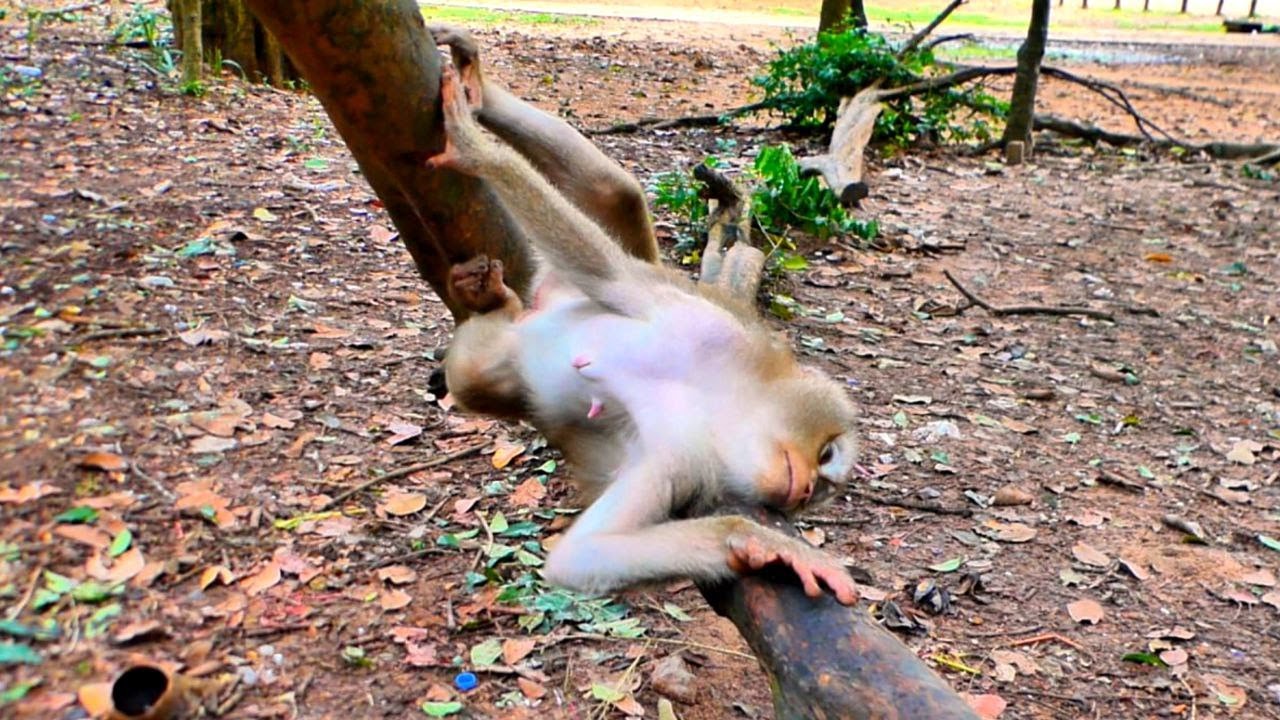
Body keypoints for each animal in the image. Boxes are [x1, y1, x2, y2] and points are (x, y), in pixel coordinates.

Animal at [426, 30, 861, 605]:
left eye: (818, 497)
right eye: (828, 454)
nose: (807, 489)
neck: (715, 399)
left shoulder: (685, 460)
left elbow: (581, 558)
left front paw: (758, 543)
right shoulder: (705, 326)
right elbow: (608, 275)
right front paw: (475, 150)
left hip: (498, 353)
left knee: (476, 376)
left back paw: (493, 300)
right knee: (614, 198)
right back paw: (480, 94)